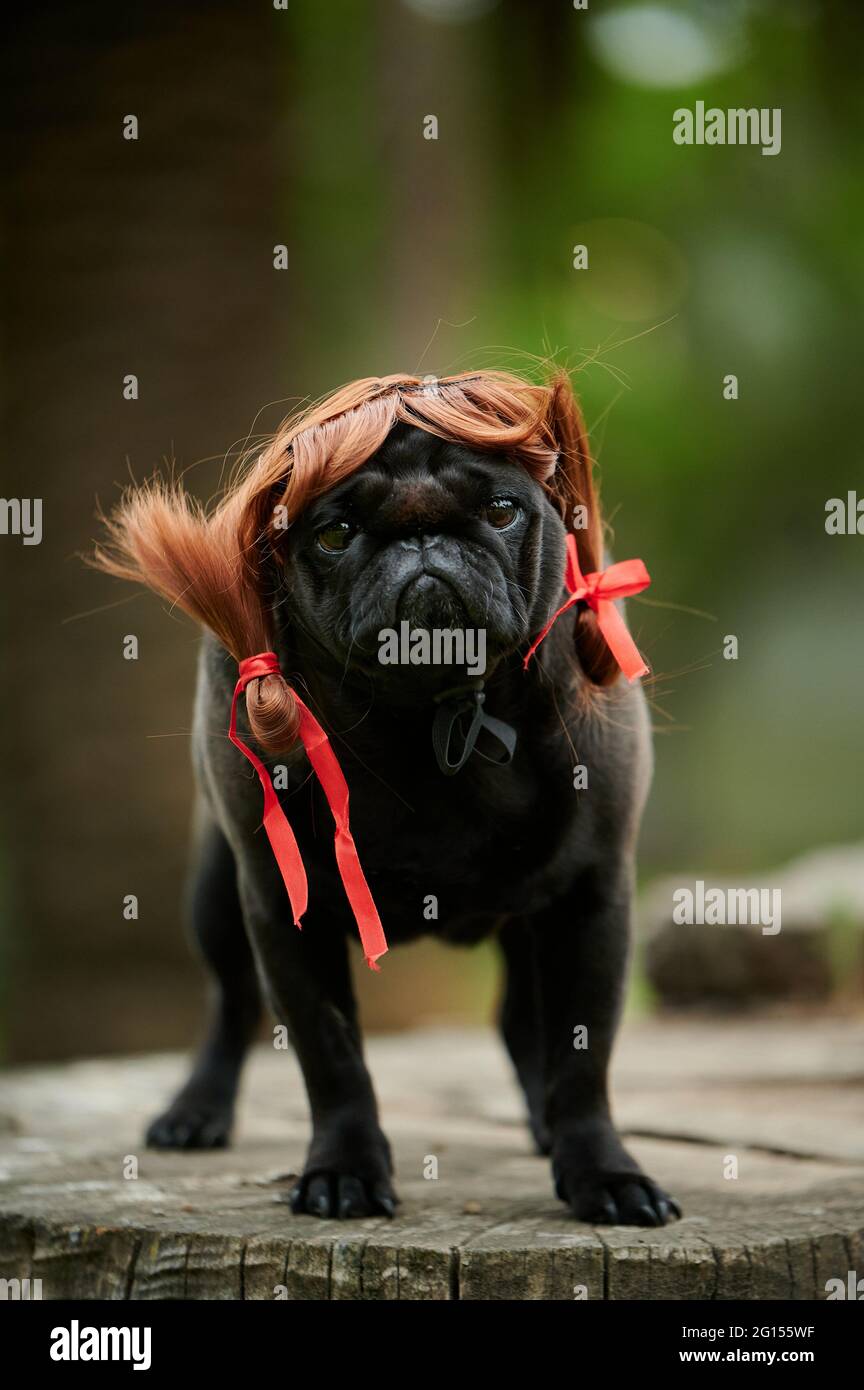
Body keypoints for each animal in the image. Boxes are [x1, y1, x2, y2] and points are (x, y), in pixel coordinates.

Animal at [97, 369, 683, 1228]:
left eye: (501, 511)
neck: (428, 709)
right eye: (335, 534)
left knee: (523, 1020)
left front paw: (602, 1172)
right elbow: (331, 1054)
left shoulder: (591, 897)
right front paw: (343, 1170)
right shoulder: (286, 907)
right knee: (231, 1003)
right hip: (216, 894)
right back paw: (196, 1111)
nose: (423, 538)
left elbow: (585, 1058)